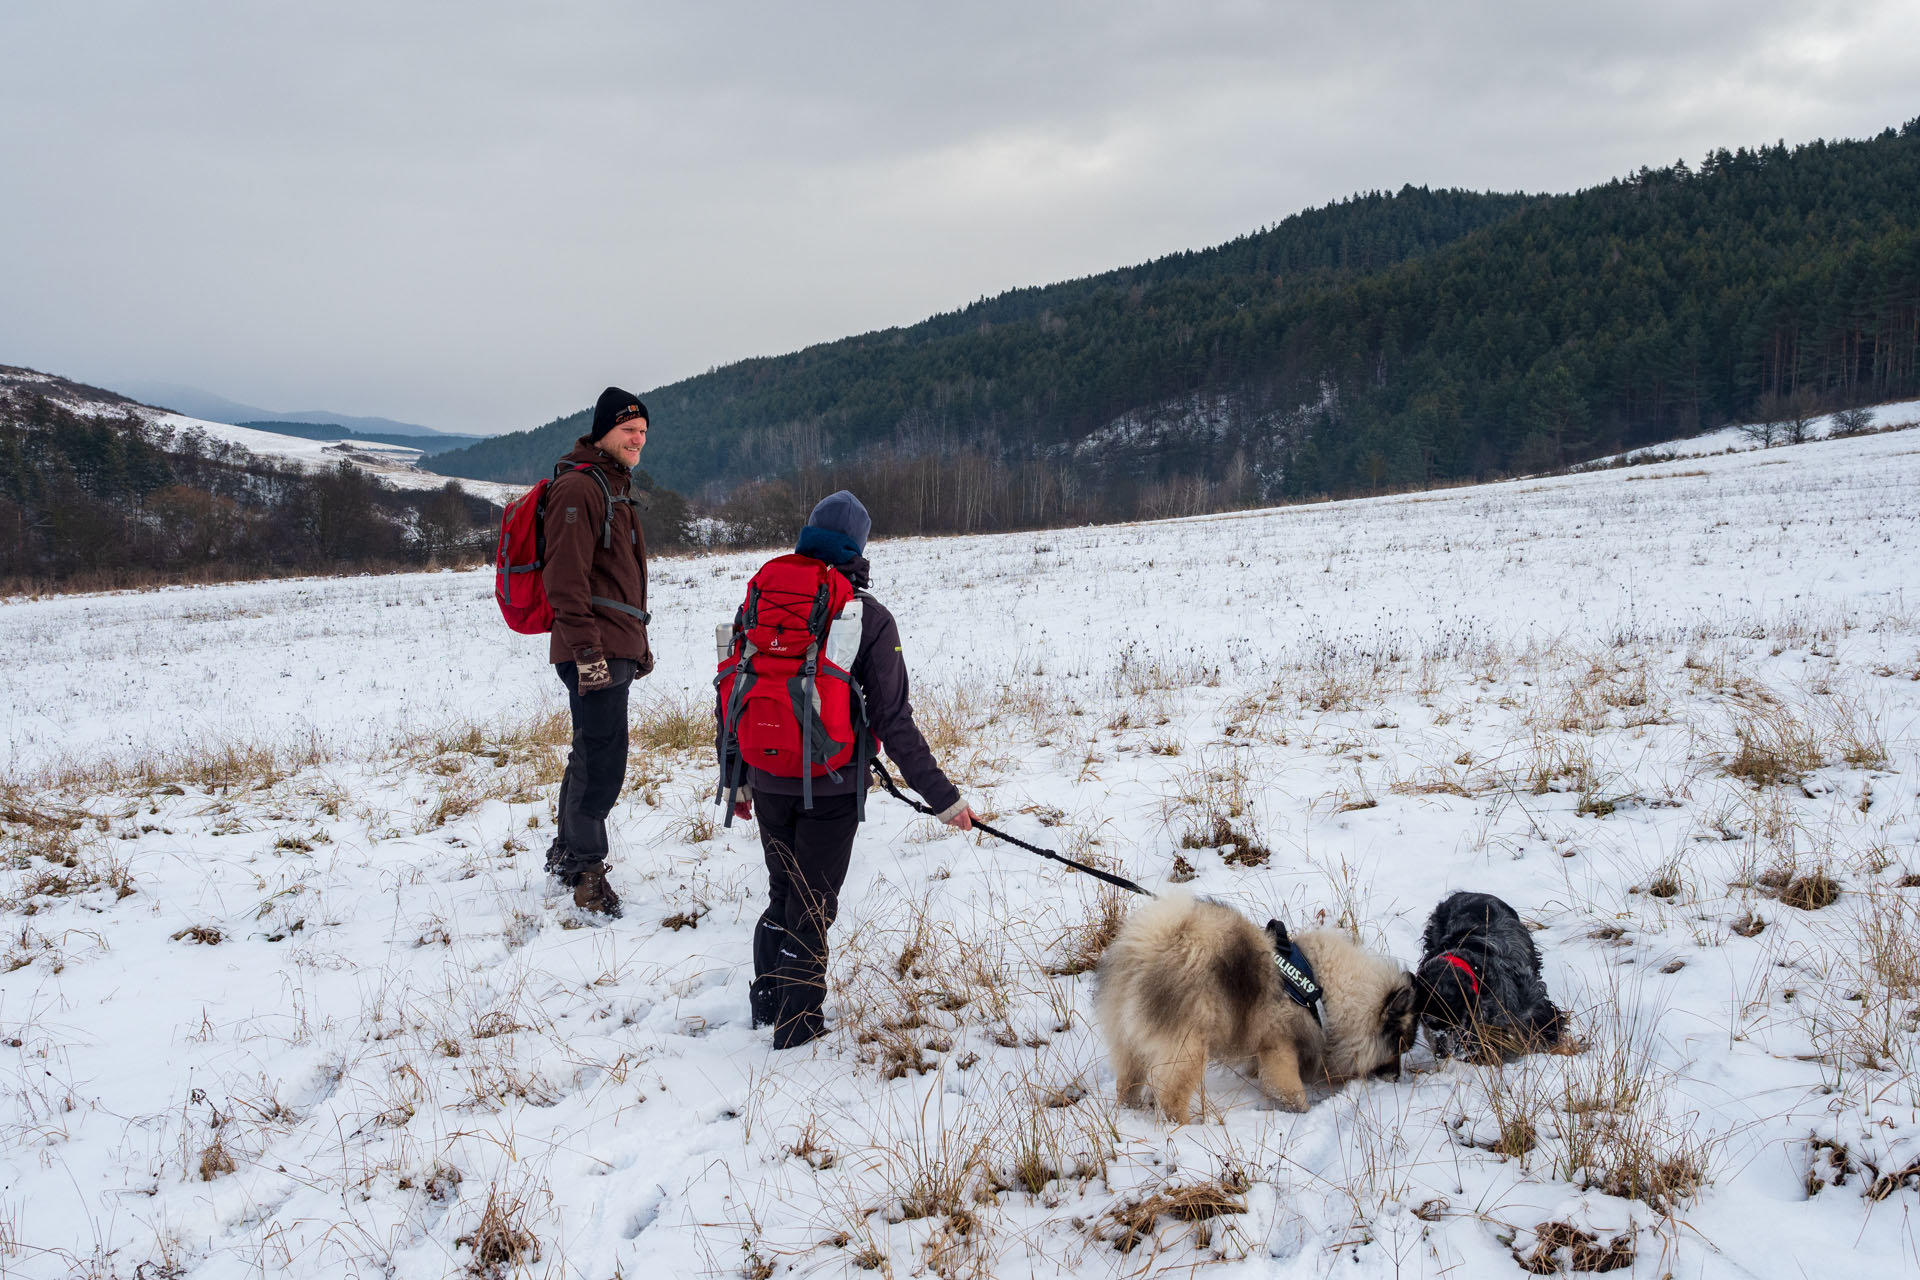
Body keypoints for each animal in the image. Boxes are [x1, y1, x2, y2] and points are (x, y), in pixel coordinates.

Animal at [1098, 890, 1413, 1120]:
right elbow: (1287, 1088)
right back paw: (1186, 1125)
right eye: (1398, 1048)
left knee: (1128, 1083)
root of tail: (1149, 948)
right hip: (1188, 1048)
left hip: (1129, 1042)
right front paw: (1301, 1109)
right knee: (1171, 1097)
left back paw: (1130, 1110)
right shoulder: (1279, 1044)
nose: (1398, 1077)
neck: (1320, 989)